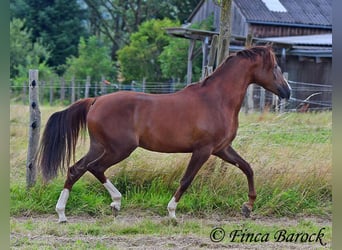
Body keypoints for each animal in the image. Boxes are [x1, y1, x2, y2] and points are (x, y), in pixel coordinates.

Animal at [37, 46, 290, 222]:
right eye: (275, 67)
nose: (287, 92)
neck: (217, 100)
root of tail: (95, 100)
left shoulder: (222, 149)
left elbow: (247, 168)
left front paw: (248, 207)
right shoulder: (203, 150)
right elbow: (186, 180)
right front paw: (172, 213)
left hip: (99, 146)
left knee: (76, 169)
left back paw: (64, 214)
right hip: (119, 148)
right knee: (94, 168)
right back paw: (113, 203)